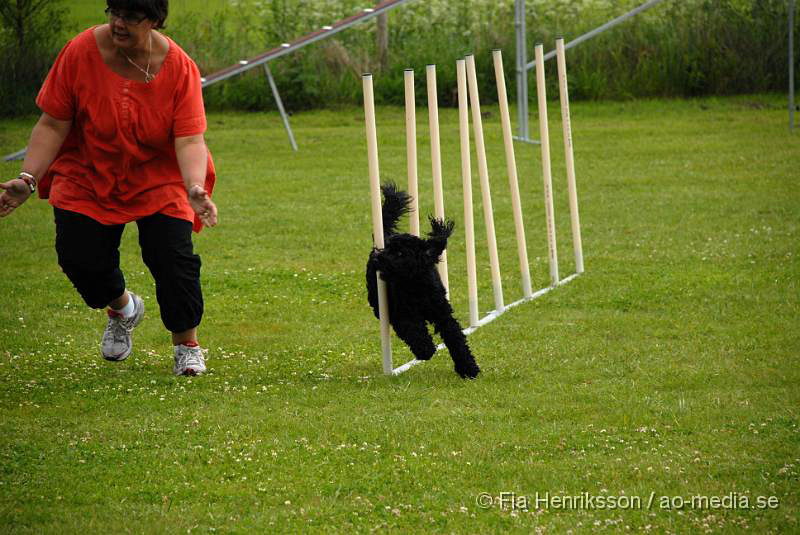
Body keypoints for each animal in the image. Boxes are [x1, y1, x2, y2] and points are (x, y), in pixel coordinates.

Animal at [366, 182, 478, 378]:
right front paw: (425, 349)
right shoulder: (402, 312)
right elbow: (413, 329)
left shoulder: (442, 312)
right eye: (388, 249)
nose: (378, 258)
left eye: (400, 253)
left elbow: (455, 337)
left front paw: (468, 367)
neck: (415, 284)